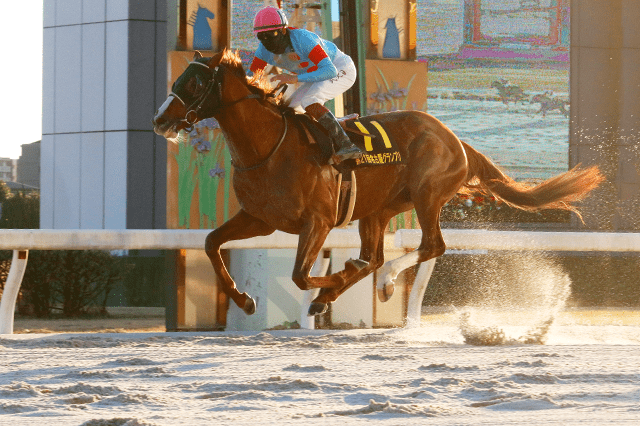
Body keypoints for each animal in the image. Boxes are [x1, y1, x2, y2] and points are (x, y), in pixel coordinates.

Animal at [152, 49, 604, 316]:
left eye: (193, 83)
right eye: (176, 80)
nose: (159, 120)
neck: (269, 146)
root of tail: (454, 138)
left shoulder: (317, 221)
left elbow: (300, 275)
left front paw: (329, 283)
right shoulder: (260, 219)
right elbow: (211, 243)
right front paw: (245, 300)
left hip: (426, 194)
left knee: (430, 246)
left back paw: (380, 284)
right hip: (379, 208)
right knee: (373, 257)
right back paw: (344, 289)